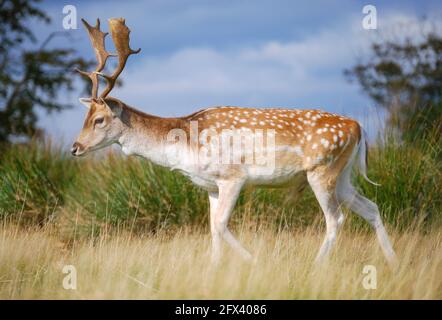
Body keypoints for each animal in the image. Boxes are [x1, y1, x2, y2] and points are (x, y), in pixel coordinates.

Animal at [71, 18, 398, 266]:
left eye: (99, 119)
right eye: (85, 115)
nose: (75, 147)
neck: (184, 145)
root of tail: (358, 127)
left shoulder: (233, 176)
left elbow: (220, 224)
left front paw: (253, 261)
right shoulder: (210, 186)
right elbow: (212, 228)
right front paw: (214, 267)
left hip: (322, 170)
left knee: (336, 219)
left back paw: (317, 266)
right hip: (342, 175)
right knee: (371, 207)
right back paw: (393, 262)